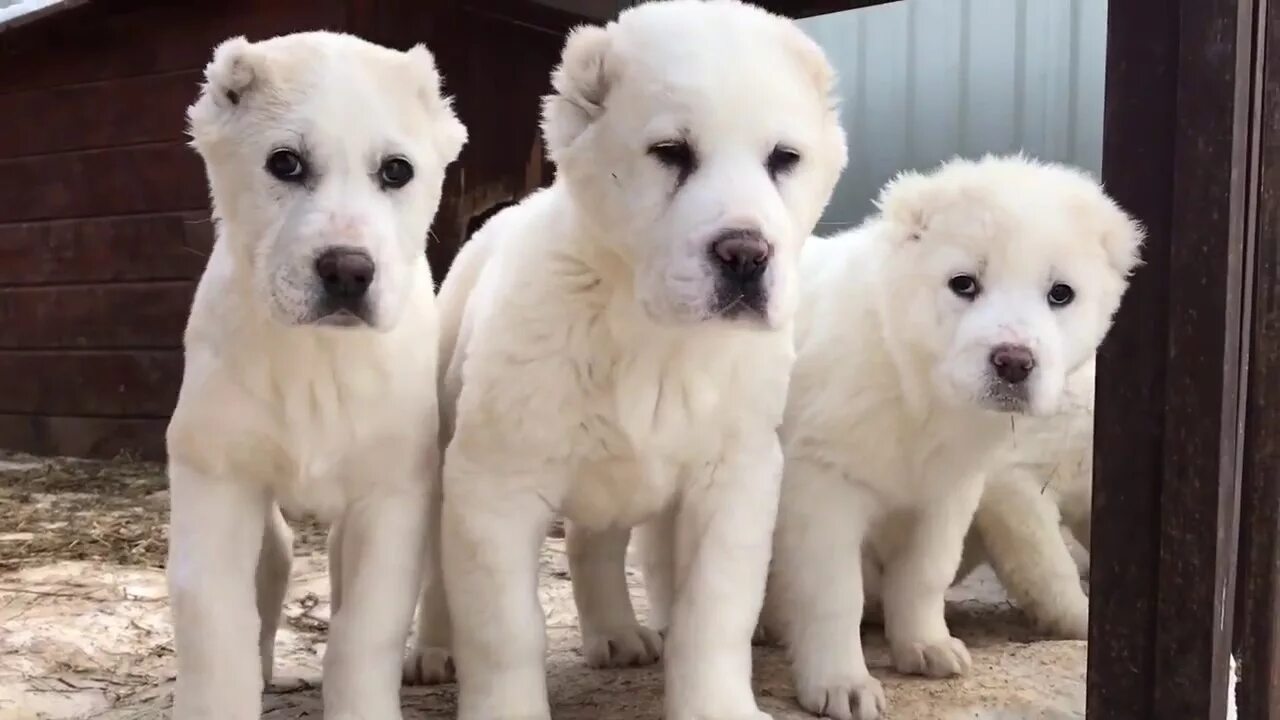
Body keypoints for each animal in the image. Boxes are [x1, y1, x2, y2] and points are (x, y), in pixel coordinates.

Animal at [165, 32, 465, 717]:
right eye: (286, 164)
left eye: (396, 171)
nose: (349, 271)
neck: (317, 358)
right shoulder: (215, 482)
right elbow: (215, 625)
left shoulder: (390, 498)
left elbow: (366, 630)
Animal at [404, 2, 849, 712]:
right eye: (670, 153)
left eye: (785, 158)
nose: (746, 254)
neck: (656, 338)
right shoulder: (494, 485)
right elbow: (504, 629)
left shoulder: (736, 480)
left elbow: (715, 612)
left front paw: (716, 707)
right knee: (443, 580)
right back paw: (433, 652)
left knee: (594, 543)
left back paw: (615, 633)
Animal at [762, 154, 1146, 712]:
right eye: (963, 283)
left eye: (1061, 294)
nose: (1014, 362)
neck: (918, 392)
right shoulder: (823, 482)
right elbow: (832, 592)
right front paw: (841, 684)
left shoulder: (950, 492)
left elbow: (925, 573)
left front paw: (925, 646)